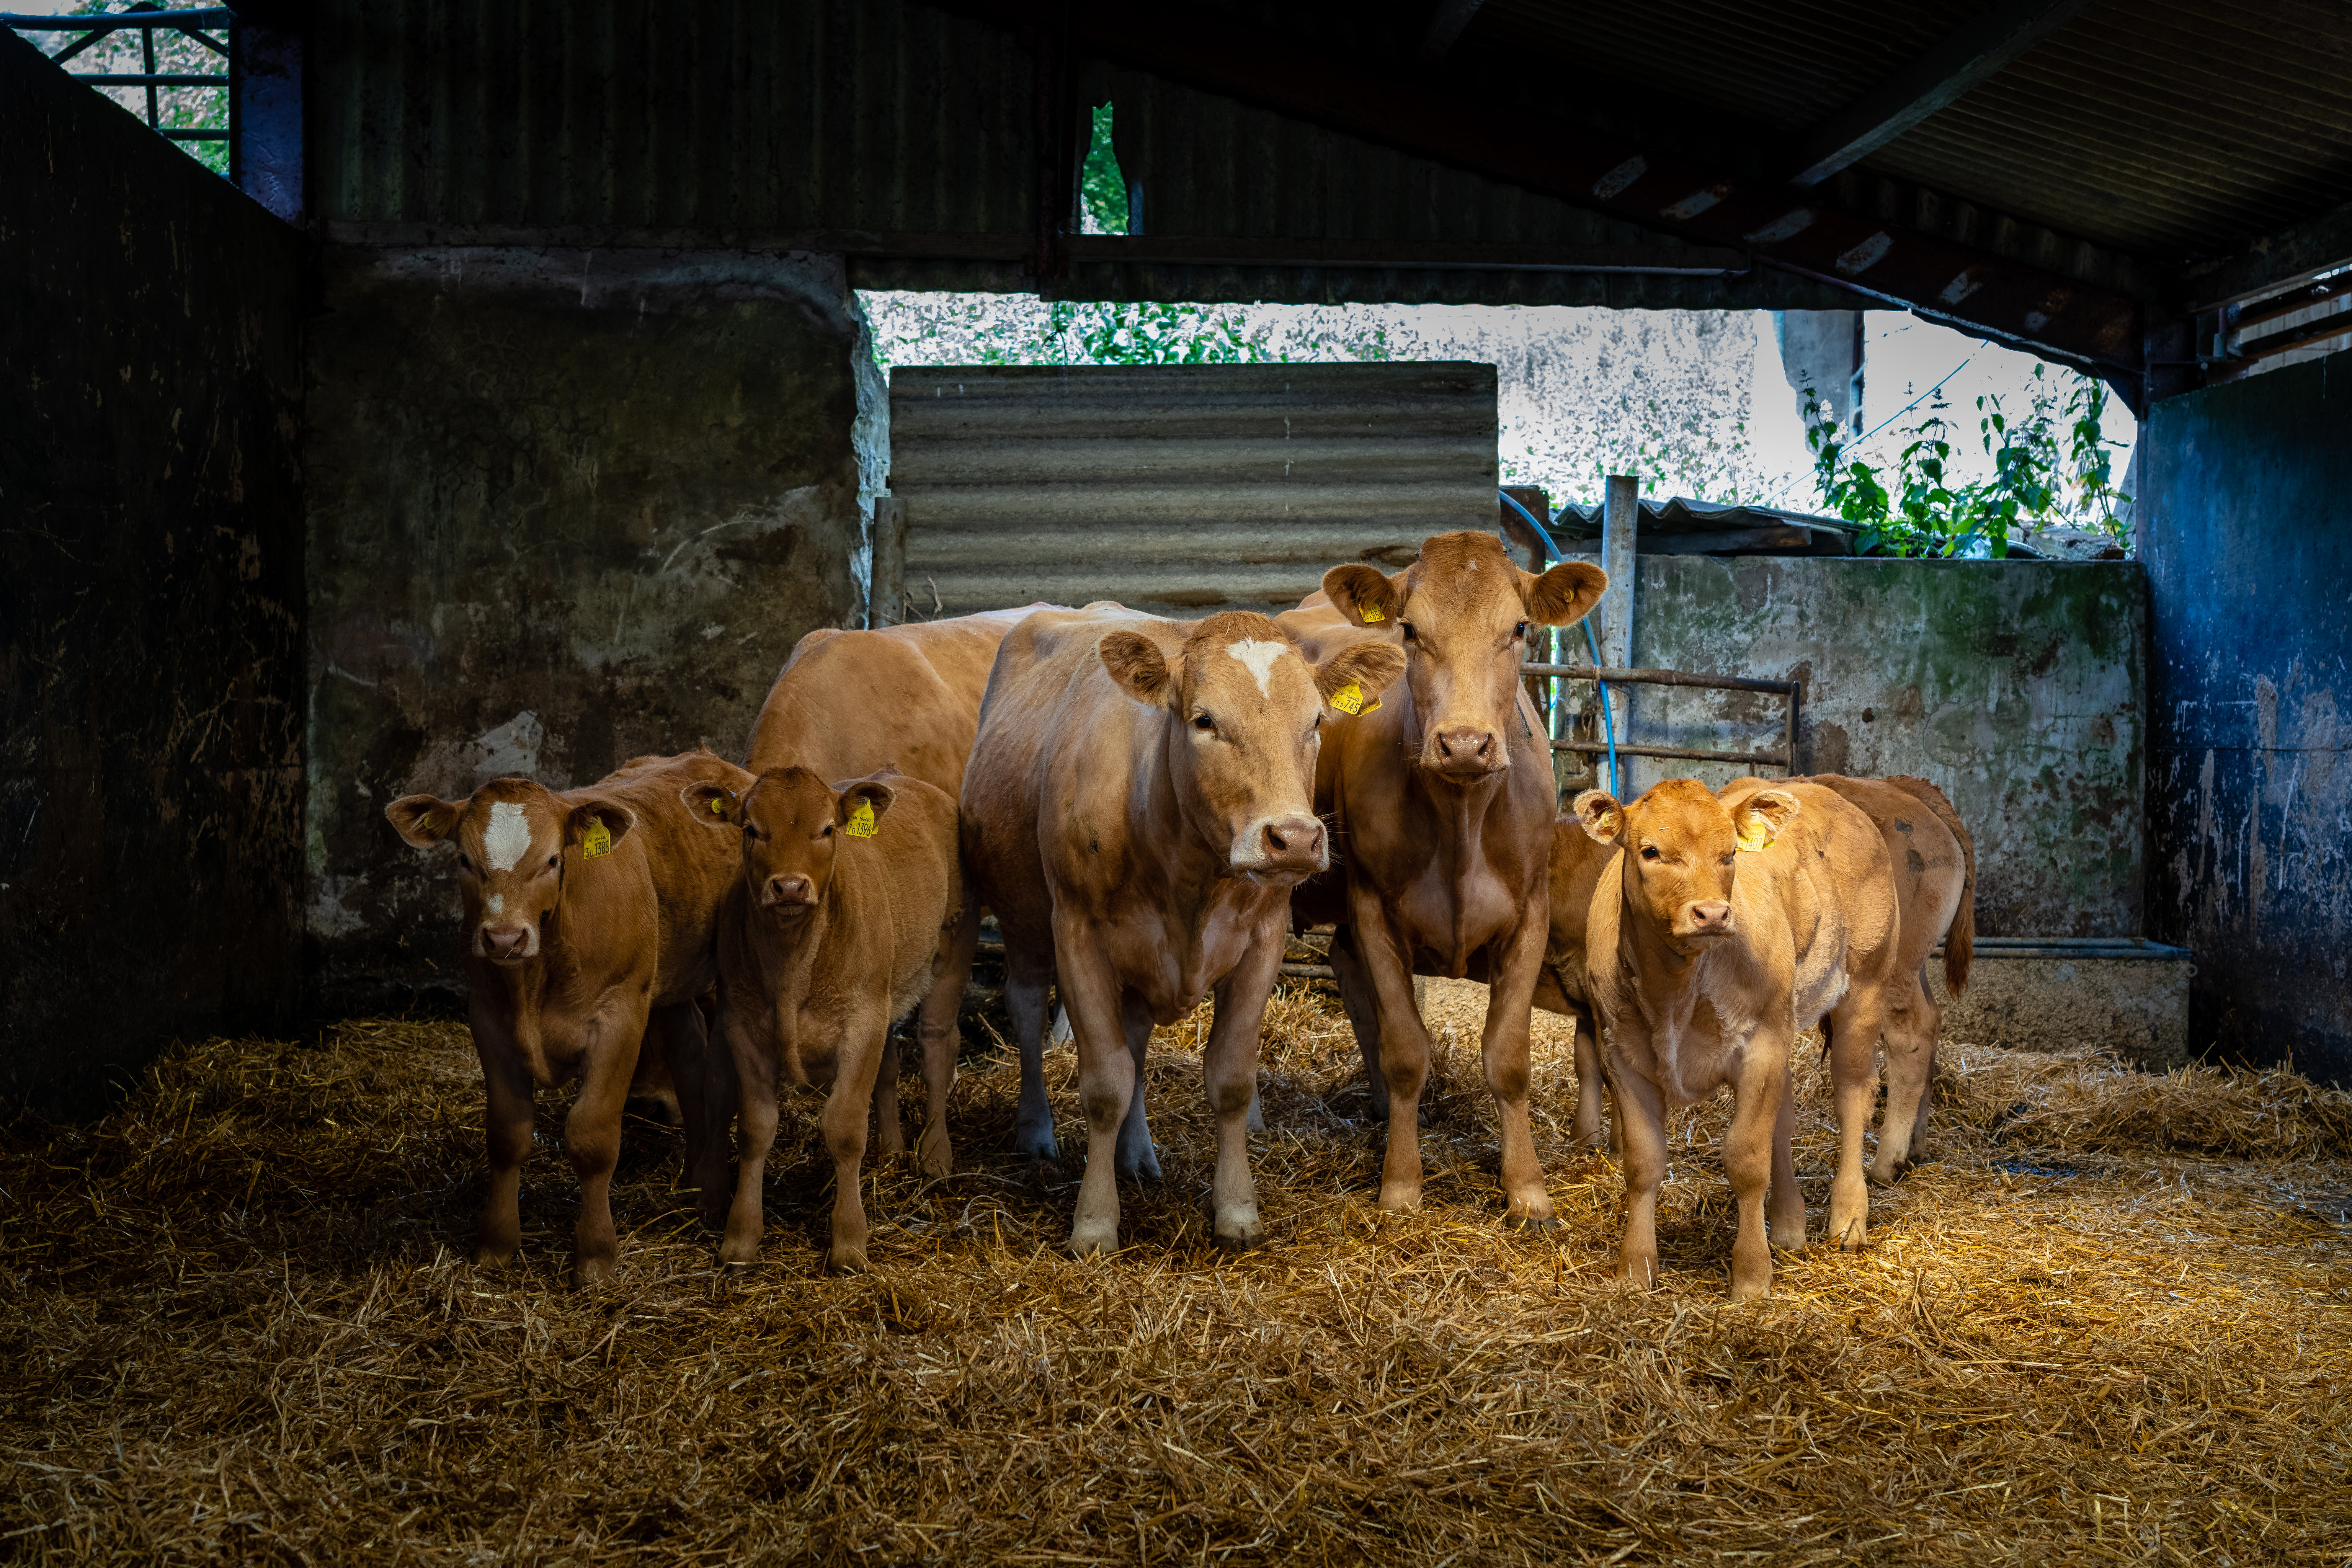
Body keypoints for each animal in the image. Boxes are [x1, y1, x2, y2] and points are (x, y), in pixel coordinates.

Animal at [385, 752, 748, 1288]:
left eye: (553, 860)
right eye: (464, 861)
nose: (504, 937)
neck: (534, 982)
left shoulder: (620, 1016)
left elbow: (592, 1138)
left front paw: (596, 1256)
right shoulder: (487, 1019)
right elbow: (507, 1135)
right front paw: (497, 1245)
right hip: (669, 986)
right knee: (690, 1056)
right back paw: (693, 1182)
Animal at [682, 771, 964, 1279]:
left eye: (828, 828)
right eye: (750, 829)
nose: (791, 887)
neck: (793, 965)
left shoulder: (861, 1025)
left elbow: (845, 1128)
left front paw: (850, 1241)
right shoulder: (743, 1026)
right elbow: (755, 1128)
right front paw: (740, 1237)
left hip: (950, 951)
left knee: (937, 1049)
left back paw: (935, 1155)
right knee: (890, 1066)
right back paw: (892, 1149)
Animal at [955, 606, 1392, 1260]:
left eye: (1316, 721)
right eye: (1204, 720)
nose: (1293, 838)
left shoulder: (1262, 942)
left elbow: (1229, 1079)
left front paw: (1237, 1210)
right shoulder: (1077, 935)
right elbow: (1104, 1085)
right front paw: (1094, 1222)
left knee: (1135, 1044)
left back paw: (1137, 1155)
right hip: (1023, 918)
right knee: (1028, 1010)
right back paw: (1035, 1133)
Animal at [1561, 776, 1909, 1297]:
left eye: (1729, 855)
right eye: (1650, 851)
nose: (1712, 914)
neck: (1675, 990)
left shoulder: (1759, 1047)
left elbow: (1746, 1159)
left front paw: (1750, 1276)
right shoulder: (1621, 1054)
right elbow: (1643, 1163)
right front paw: (1635, 1269)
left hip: (1864, 988)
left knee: (1853, 1094)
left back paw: (1848, 1218)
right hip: (1787, 1020)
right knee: (1784, 1117)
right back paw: (1788, 1225)